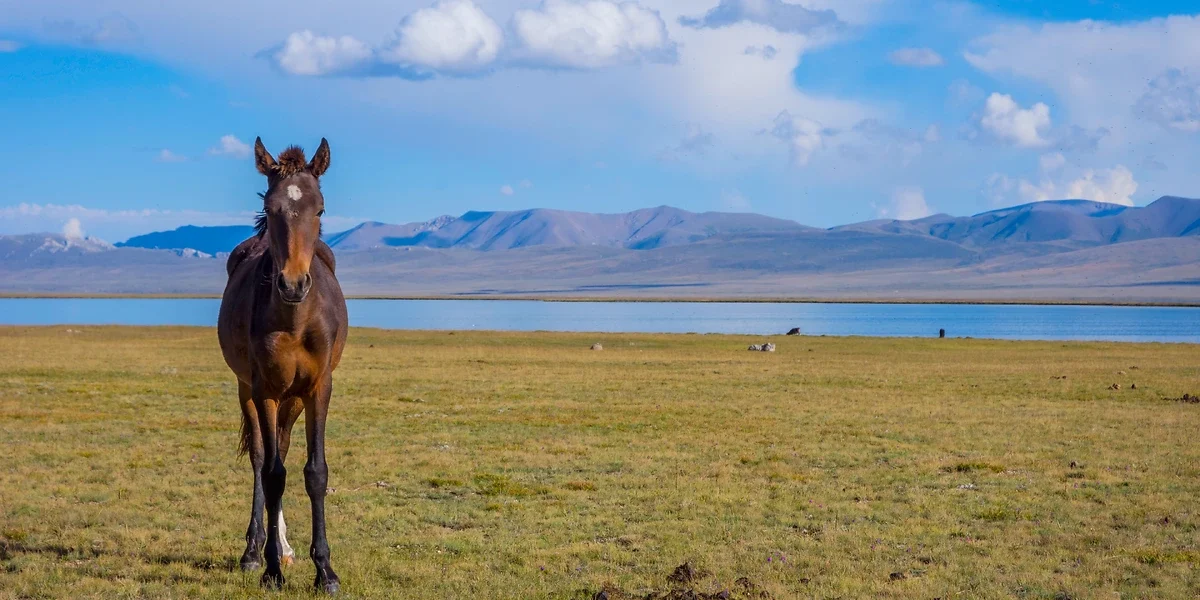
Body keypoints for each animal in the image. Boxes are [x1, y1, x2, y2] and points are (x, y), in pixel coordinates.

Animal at [217, 137, 348, 593]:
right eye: (271, 207)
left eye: (320, 209)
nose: (293, 284)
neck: (294, 319)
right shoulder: (265, 390)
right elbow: (273, 475)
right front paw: (272, 569)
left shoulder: (319, 388)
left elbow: (315, 472)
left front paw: (325, 570)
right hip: (249, 391)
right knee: (262, 459)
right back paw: (255, 550)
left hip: (294, 398)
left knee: (285, 450)